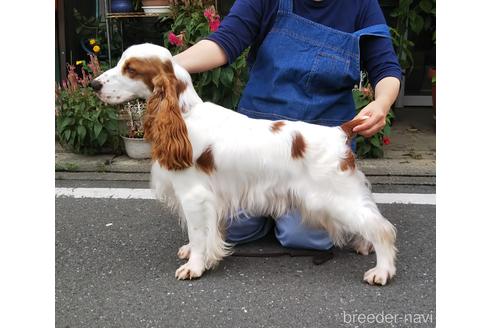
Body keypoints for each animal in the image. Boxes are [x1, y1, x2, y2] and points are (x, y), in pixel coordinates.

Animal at [92, 43, 398, 284]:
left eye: (131, 69)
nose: (94, 85)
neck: (184, 115)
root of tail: (339, 131)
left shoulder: (194, 195)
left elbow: (198, 232)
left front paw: (194, 266)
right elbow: (199, 234)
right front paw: (191, 252)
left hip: (332, 196)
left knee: (380, 227)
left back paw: (381, 271)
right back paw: (364, 247)